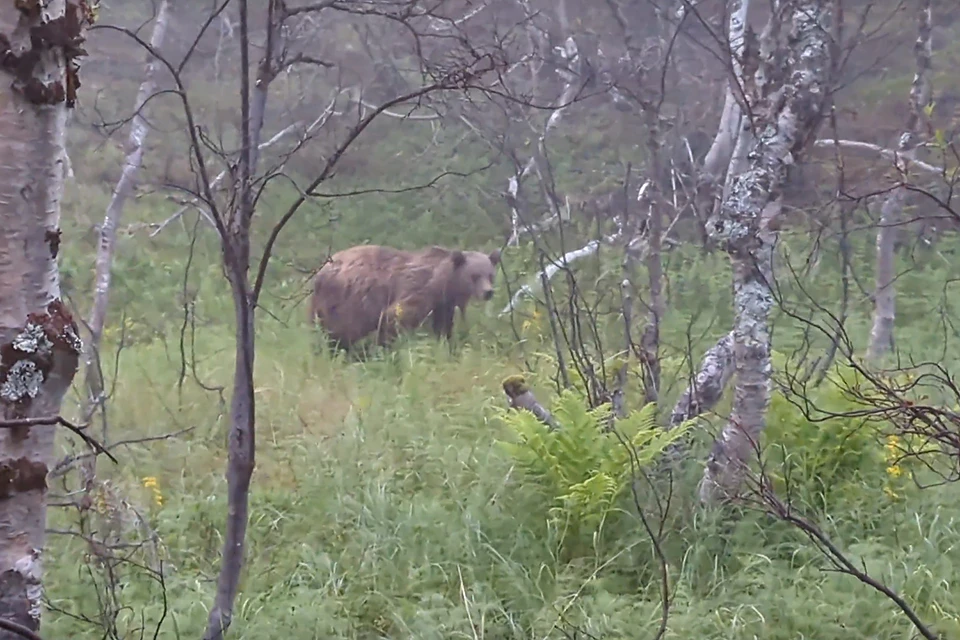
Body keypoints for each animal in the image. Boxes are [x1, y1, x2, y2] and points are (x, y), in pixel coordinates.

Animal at [308, 242, 502, 350]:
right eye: (474, 276)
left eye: (490, 275)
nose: (488, 292)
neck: (444, 283)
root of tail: (320, 272)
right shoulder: (418, 288)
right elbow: (395, 316)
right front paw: (385, 348)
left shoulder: (442, 304)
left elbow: (443, 326)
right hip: (345, 301)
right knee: (340, 332)